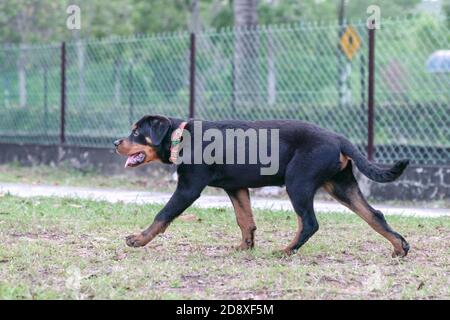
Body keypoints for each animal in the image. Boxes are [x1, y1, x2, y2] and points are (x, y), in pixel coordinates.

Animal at [114, 115, 410, 258]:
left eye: (137, 132)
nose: (116, 143)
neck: (180, 136)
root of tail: (340, 139)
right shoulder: (236, 187)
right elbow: (245, 220)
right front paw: (245, 247)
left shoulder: (188, 188)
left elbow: (162, 215)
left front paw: (138, 239)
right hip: (341, 185)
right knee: (374, 215)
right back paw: (399, 247)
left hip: (298, 182)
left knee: (309, 222)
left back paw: (286, 251)